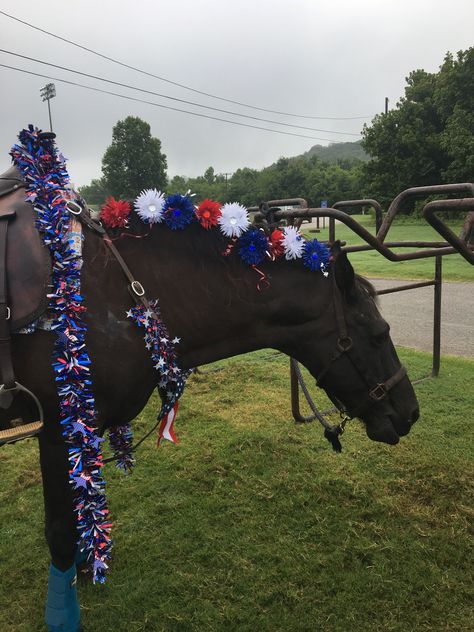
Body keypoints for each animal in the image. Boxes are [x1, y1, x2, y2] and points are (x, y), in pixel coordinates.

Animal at [0, 146, 416, 628]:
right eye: (379, 334)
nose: (410, 412)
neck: (112, 297)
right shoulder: (56, 432)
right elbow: (62, 533)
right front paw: (63, 613)